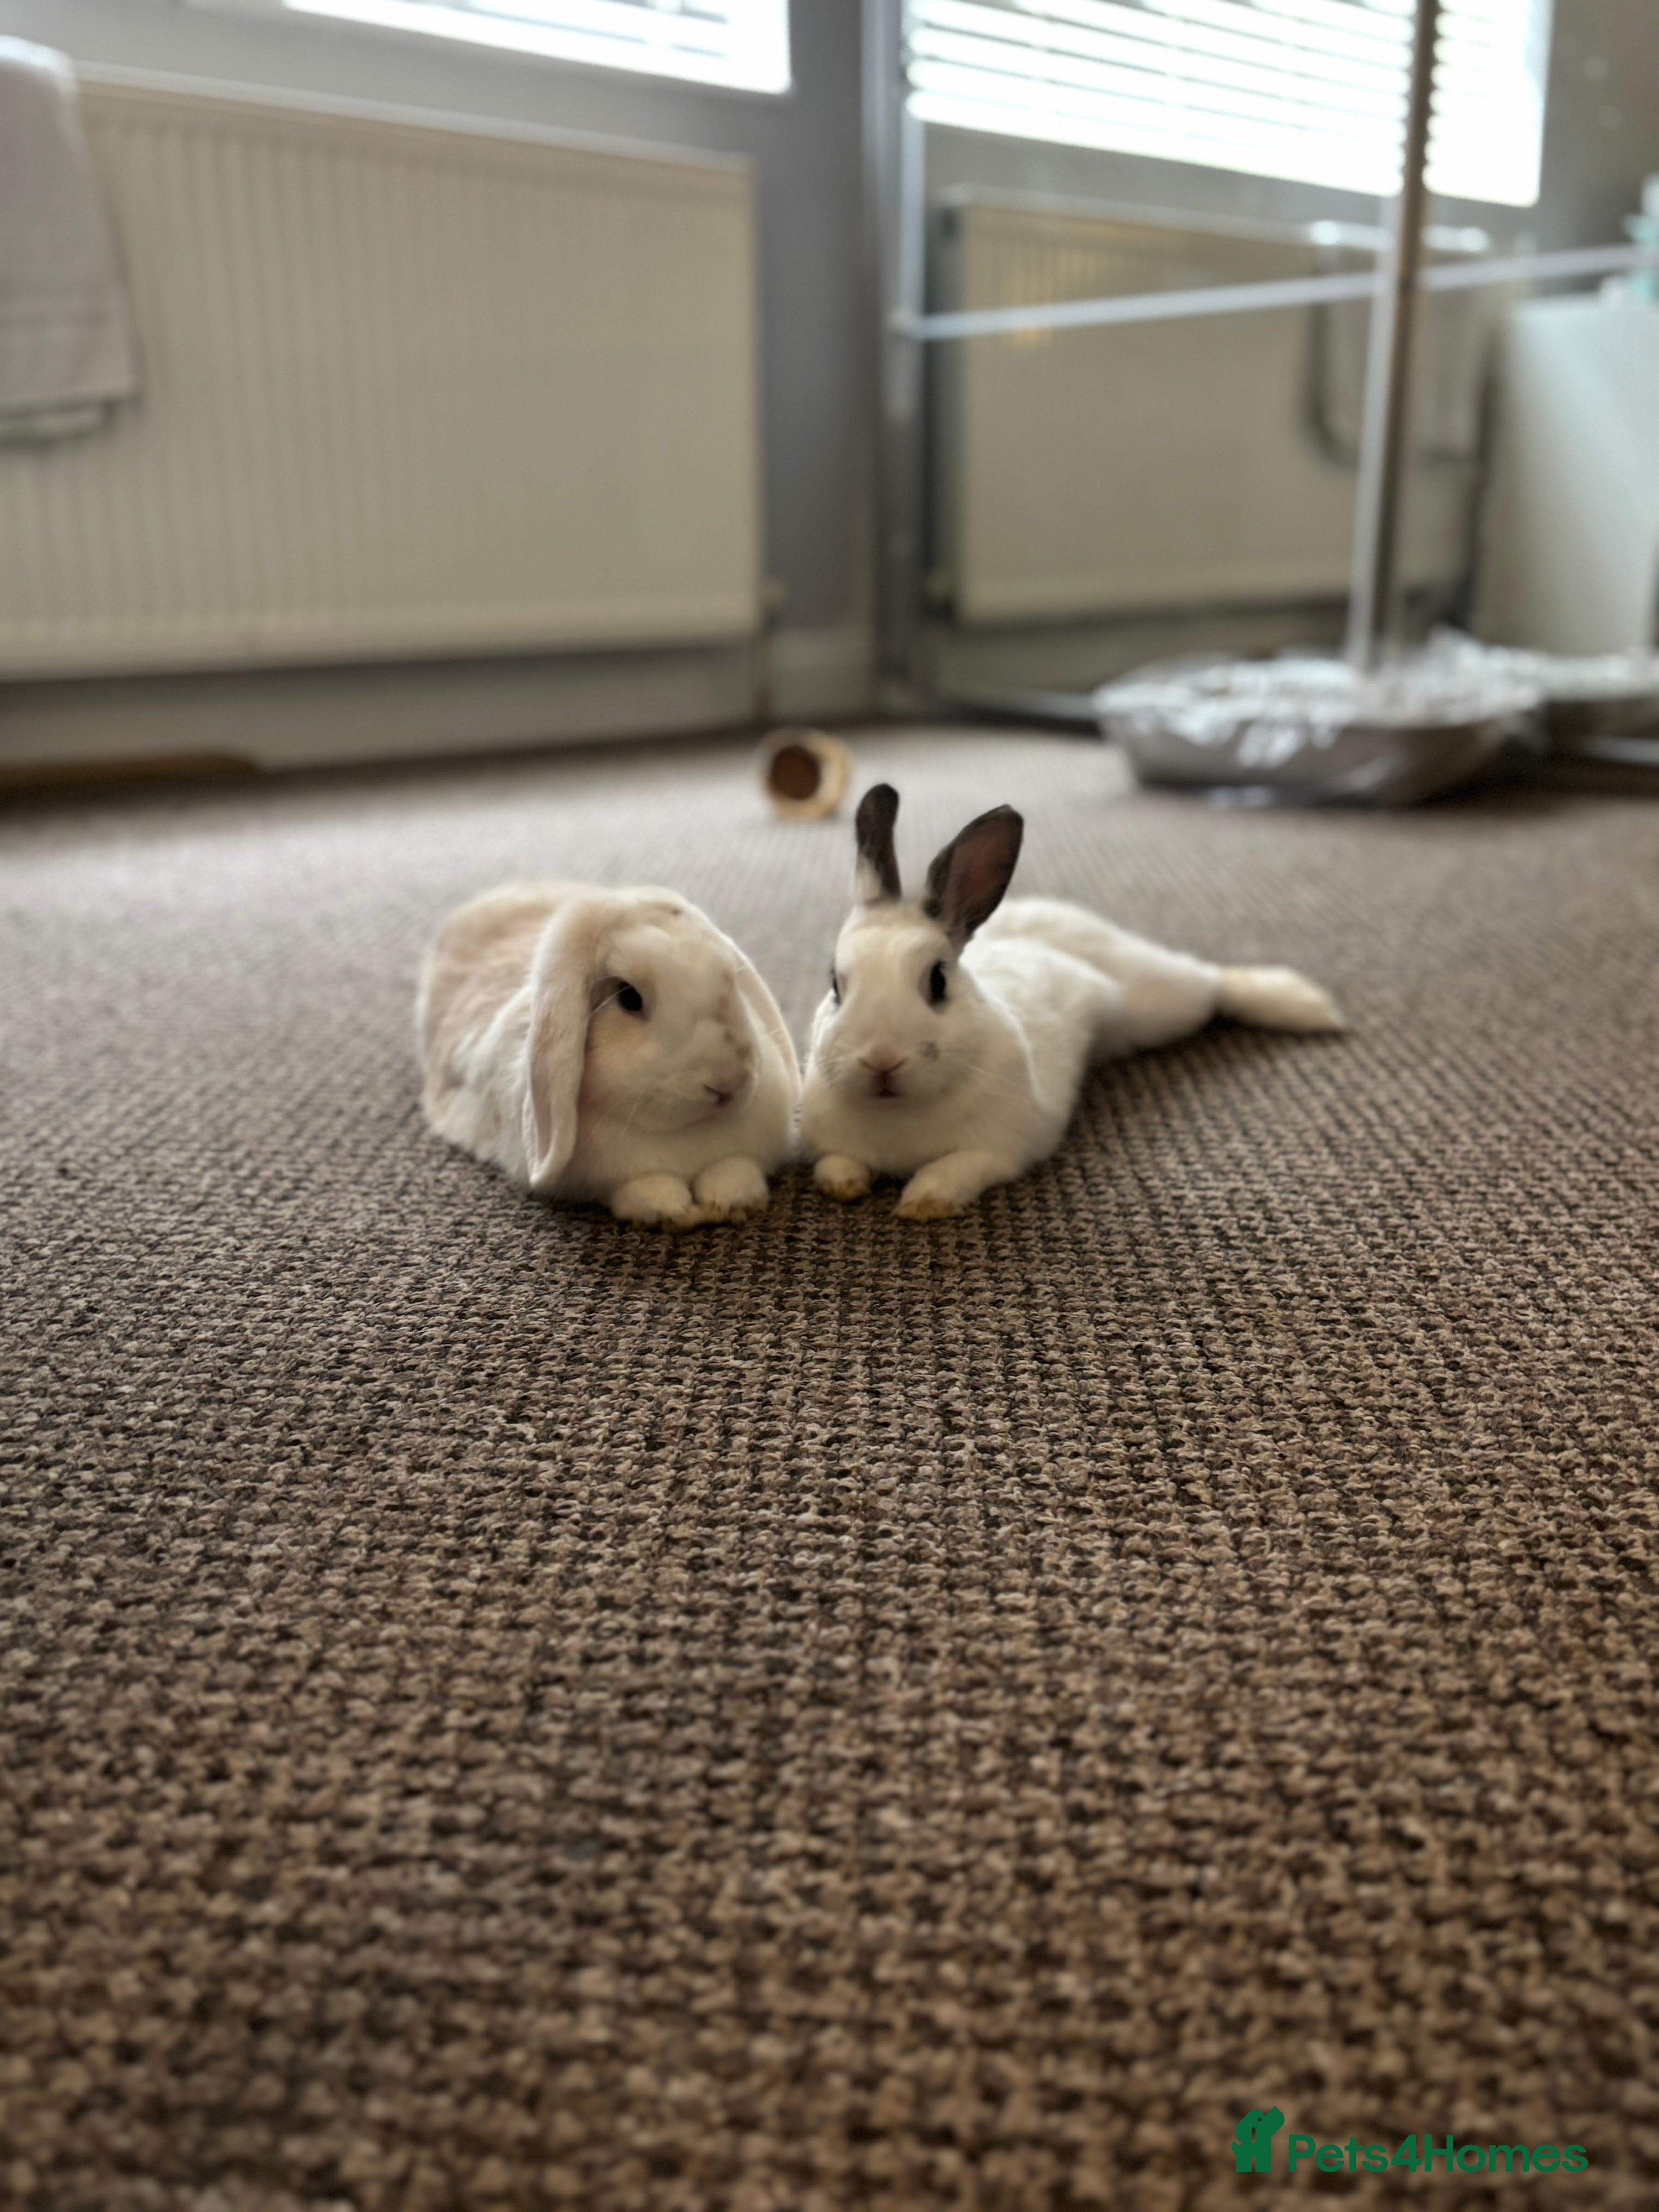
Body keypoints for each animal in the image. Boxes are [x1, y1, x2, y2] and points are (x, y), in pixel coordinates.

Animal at [418, 882, 800, 1228]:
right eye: (629, 997)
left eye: (732, 983)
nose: (728, 1081)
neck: (687, 1134)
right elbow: (642, 1189)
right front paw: (674, 1211)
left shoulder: (746, 1153)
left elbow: (737, 1168)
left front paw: (727, 1202)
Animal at [800, 784, 1344, 1221]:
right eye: (835, 985)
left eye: (937, 982)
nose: (881, 1060)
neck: (899, 1113)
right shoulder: (829, 1143)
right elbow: (835, 1163)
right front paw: (845, 1187)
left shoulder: (1000, 1150)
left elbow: (954, 1170)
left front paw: (923, 1204)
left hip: (1161, 999)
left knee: (1214, 983)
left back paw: (1306, 1005)